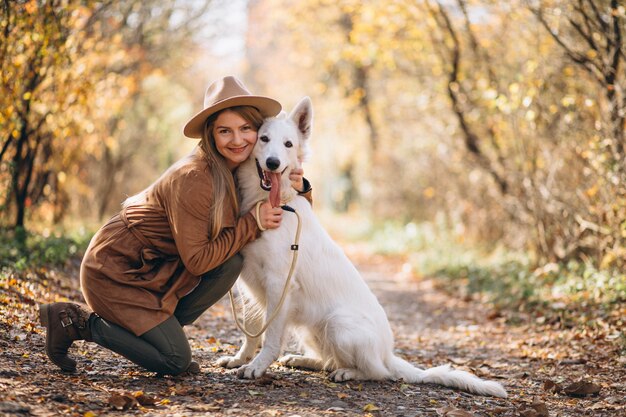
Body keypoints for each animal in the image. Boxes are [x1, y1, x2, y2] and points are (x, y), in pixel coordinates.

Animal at [217, 96, 504, 398]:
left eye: (288, 144)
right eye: (263, 139)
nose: (273, 163)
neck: (274, 202)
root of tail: (388, 353)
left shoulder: (279, 285)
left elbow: (270, 337)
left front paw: (257, 367)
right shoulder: (249, 281)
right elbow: (250, 330)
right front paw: (240, 358)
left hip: (338, 323)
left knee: (378, 372)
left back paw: (349, 372)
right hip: (312, 328)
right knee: (330, 360)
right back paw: (304, 360)